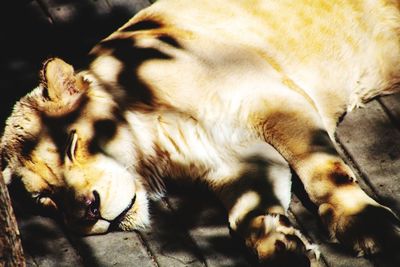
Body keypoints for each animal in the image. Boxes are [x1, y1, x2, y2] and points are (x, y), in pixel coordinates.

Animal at [0, 0, 400, 266]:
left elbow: (322, 171)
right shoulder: (238, 161)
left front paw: (365, 224)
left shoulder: (276, 100)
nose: (88, 210)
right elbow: (247, 212)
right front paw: (279, 245)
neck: (156, 146)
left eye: (70, 144)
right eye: (45, 199)